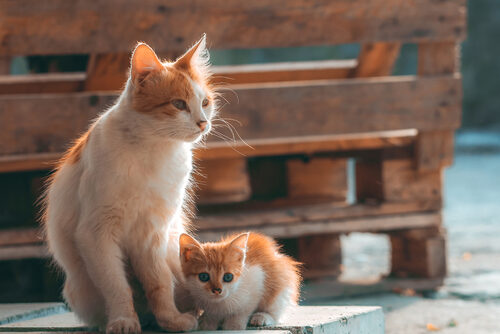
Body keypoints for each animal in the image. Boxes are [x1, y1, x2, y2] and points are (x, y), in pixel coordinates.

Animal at [41, 35, 217, 332]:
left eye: (204, 103)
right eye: (179, 104)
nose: (203, 123)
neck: (153, 150)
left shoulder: (152, 234)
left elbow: (159, 283)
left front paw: (170, 319)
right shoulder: (97, 233)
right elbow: (117, 287)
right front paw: (124, 320)